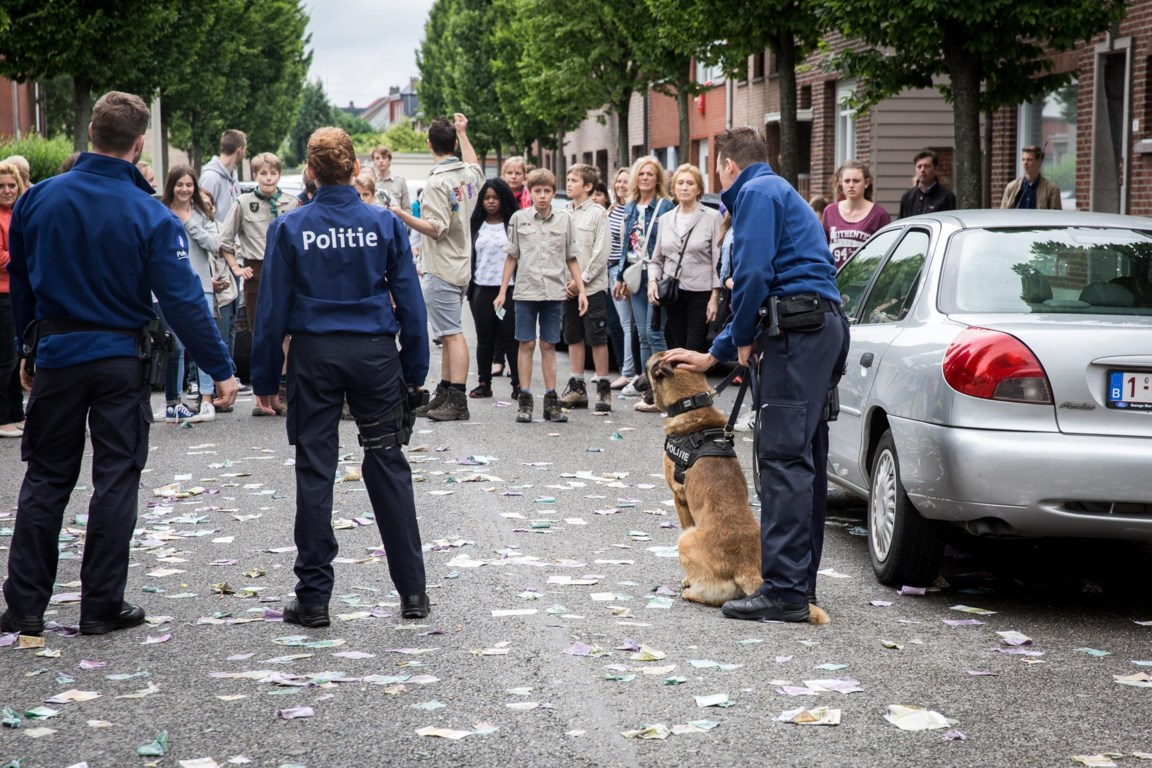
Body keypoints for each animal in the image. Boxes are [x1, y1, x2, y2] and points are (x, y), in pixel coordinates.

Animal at [649, 354, 829, 626]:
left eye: (645, 370)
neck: (691, 407)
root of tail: (745, 566)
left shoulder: (679, 499)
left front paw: (687, 580)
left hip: (685, 541)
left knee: (714, 597)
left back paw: (692, 592)